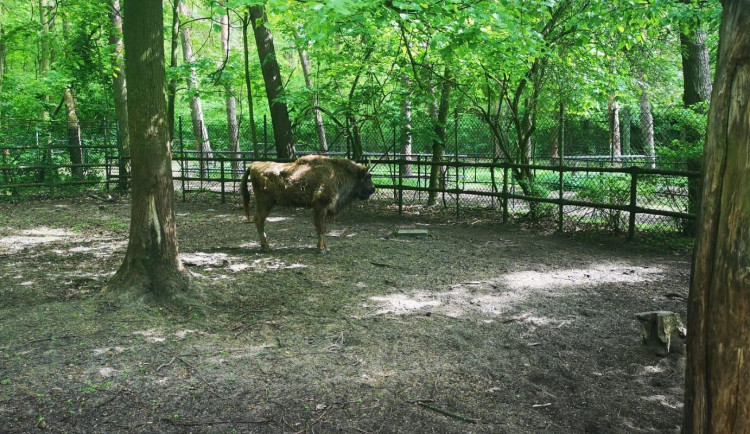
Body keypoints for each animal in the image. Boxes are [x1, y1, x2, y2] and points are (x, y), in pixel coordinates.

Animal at [242, 155, 376, 251]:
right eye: (368, 176)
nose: (373, 189)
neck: (337, 173)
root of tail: (254, 165)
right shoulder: (320, 206)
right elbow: (321, 227)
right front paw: (322, 248)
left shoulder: (322, 209)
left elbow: (321, 227)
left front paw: (324, 246)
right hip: (265, 202)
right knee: (259, 219)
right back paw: (266, 247)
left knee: (259, 220)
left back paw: (266, 246)